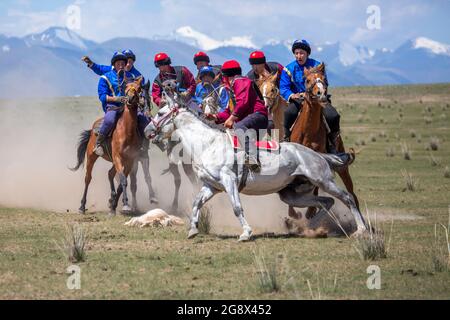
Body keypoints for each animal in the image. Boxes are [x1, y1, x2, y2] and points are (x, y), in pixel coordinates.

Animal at [71, 75, 155, 215]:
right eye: (126, 88)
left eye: (138, 89)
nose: (130, 99)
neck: (127, 132)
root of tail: (93, 128)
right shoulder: (118, 157)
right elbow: (124, 180)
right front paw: (125, 205)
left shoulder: (132, 160)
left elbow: (125, 182)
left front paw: (115, 205)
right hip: (91, 156)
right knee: (88, 178)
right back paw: (82, 206)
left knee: (110, 174)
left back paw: (112, 201)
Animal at [145, 102, 370, 240]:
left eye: (160, 113)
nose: (148, 131)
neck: (208, 144)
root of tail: (318, 155)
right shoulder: (212, 186)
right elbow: (196, 202)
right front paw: (192, 230)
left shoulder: (229, 181)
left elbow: (237, 208)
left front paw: (246, 233)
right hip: (291, 194)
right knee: (326, 201)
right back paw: (306, 228)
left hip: (323, 180)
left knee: (347, 198)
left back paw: (360, 230)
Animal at [290, 63, 360, 221]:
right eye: (307, 80)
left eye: (324, 79)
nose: (320, 93)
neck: (308, 132)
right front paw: (292, 213)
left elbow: (316, 187)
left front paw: (310, 211)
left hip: (342, 167)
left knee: (351, 192)